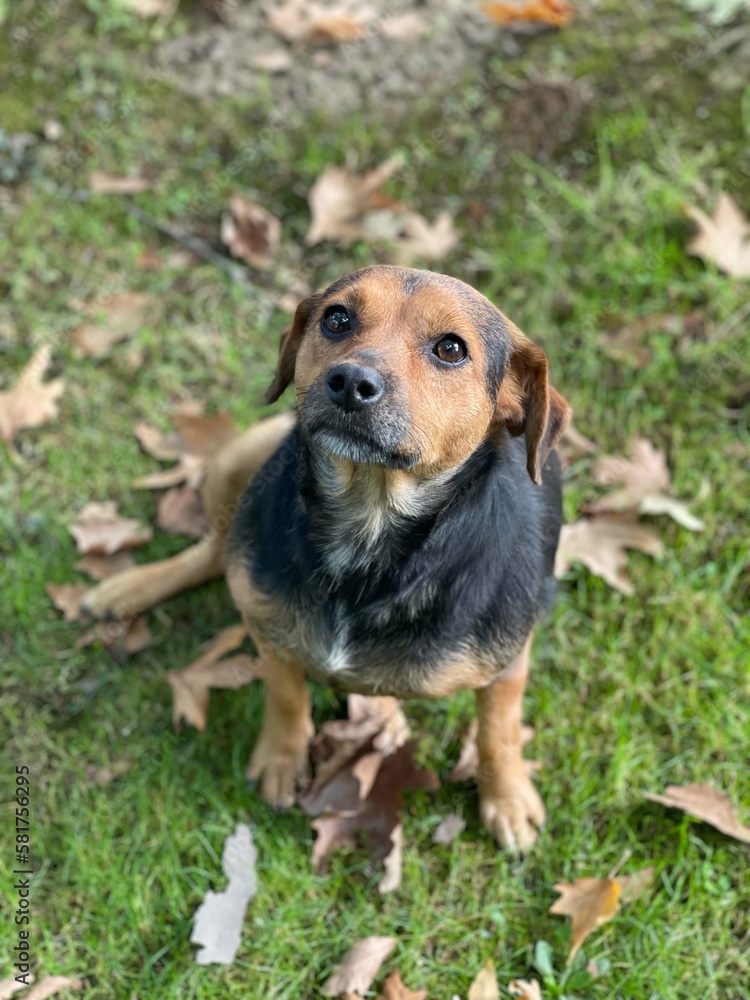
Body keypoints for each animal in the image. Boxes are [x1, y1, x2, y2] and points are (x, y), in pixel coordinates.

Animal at [83, 264, 568, 852]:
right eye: (337, 319)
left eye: (451, 348)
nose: (351, 382)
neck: (366, 532)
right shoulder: (268, 625)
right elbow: (286, 694)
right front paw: (281, 759)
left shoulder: (507, 664)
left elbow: (500, 732)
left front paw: (508, 800)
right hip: (241, 458)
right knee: (213, 550)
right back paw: (127, 590)